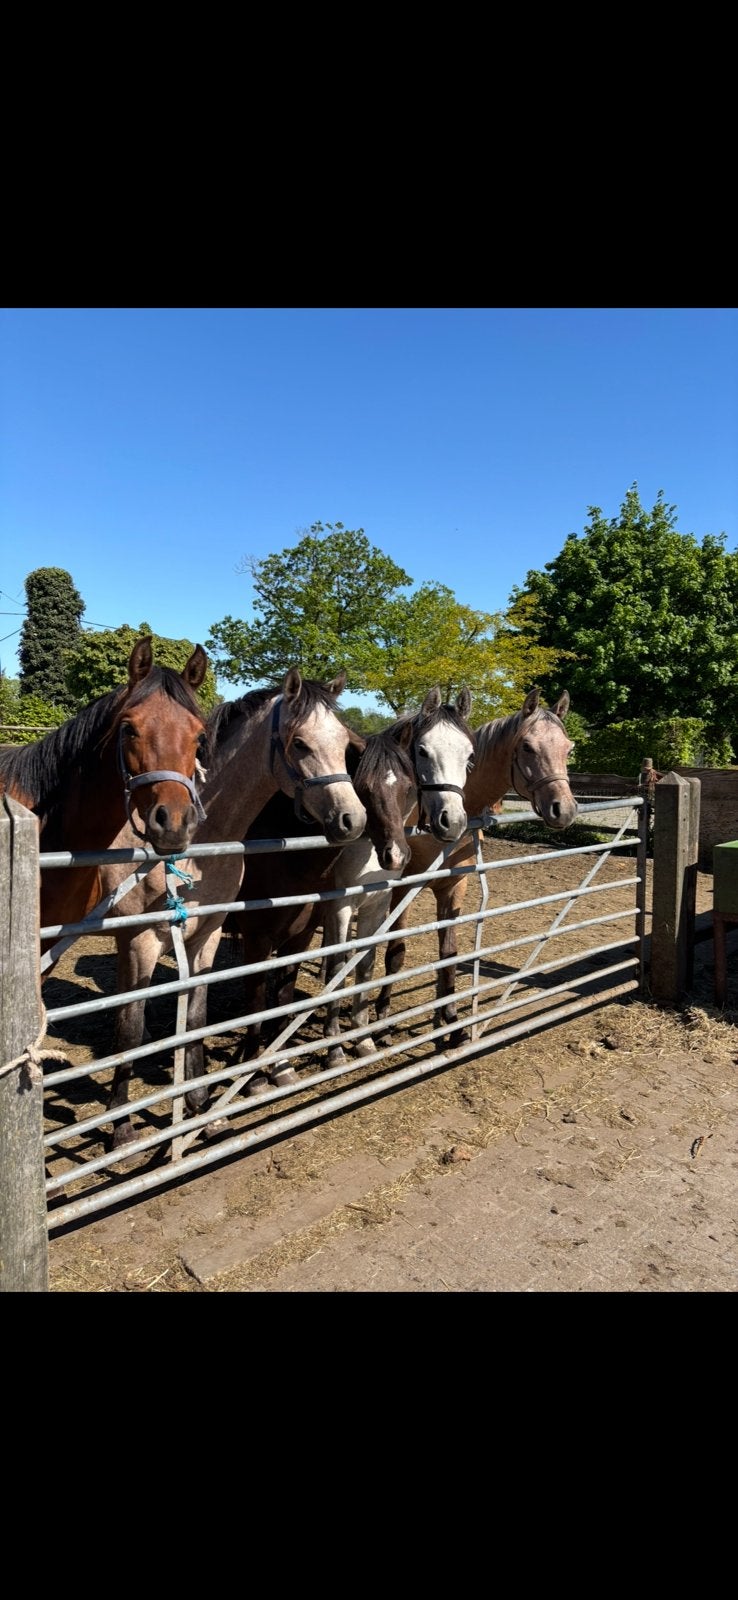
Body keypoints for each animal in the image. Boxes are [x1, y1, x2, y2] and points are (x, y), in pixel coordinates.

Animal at [100, 668, 368, 1148]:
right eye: (300, 744)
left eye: (344, 745)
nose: (352, 820)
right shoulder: (149, 941)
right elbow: (129, 1031)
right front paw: (122, 1127)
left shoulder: (232, 936)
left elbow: (222, 1012)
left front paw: (208, 1103)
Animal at [376, 687, 578, 1049]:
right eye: (527, 747)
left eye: (568, 749)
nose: (564, 810)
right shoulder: (403, 888)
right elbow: (396, 952)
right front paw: (383, 1022)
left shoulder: (454, 888)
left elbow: (449, 955)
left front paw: (452, 1022)